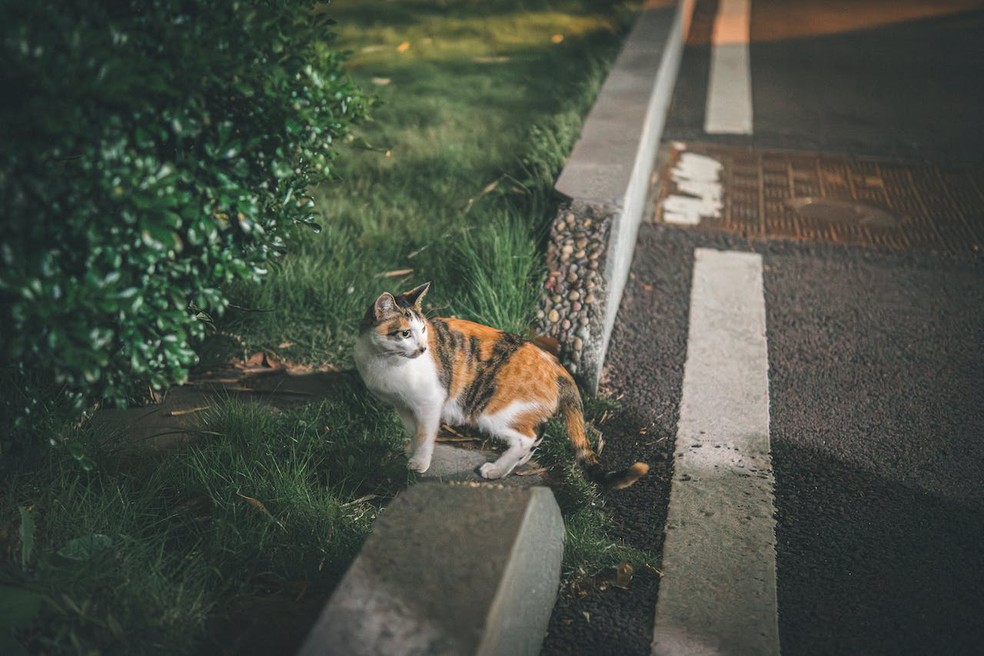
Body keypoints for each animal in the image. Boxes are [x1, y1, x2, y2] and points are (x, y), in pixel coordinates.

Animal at [352, 280, 644, 490]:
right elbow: (414, 431)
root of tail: (557, 365)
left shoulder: (430, 402)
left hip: (493, 411)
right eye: (405, 333)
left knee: (527, 438)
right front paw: (410, 451)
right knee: (539, 432)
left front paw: (420, 463)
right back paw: (514, 463)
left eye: (423, 331)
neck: (384, 361)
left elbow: (425, 434)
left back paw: (496, 469)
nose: (424, 349)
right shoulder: (402, 405)